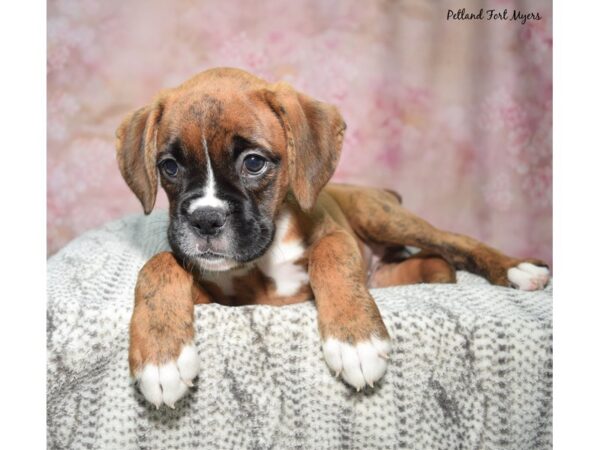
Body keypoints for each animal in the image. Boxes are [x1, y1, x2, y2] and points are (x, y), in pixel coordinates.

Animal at [115, 67, 552, 408]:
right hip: (387, 268)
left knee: (455, 242)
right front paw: (161, 358)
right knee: (434, 263)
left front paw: (355, 340)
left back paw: (519, 269)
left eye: (254, 163)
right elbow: (158, 266)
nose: (205, 220)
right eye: (169, 167)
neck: (263, 256)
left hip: (382, 218)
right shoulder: (215, 295)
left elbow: (330, 256)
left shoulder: (334, 234)